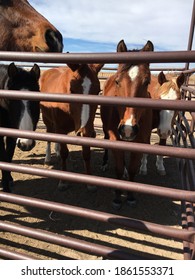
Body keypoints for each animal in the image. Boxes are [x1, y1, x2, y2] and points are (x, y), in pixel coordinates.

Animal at [0, 62, 40, 191]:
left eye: (36, 101)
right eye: (12, 100)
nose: (25, 144)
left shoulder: (12, 134)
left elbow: (8, 157)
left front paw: (8, 181)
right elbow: (3, 158)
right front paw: (6, 189)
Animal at [100, 40, 154, 210]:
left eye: (147, 82)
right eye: (118, 81)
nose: (128, 130)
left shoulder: (140, 143)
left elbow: (132, 169)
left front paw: (130, 196)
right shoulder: (115, 139)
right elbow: (118, 168)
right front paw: (117, 198)